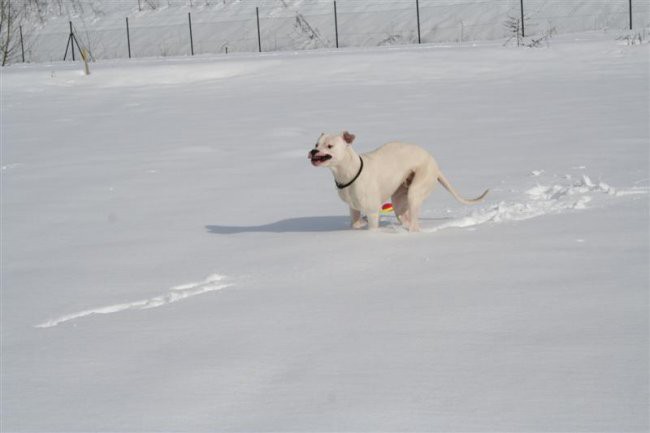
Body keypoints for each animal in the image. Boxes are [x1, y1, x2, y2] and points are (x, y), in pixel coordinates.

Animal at [308, 131, 486, 231]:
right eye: (316, 144)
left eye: (329, 146)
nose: (313, 151)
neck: (349, 171)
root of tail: (435, 164)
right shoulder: (354, 210)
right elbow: (356, 224)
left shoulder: (372, 212)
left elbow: (372, 228)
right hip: (399, 200)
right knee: (404, 217)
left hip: (416, 190)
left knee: (414, 225)